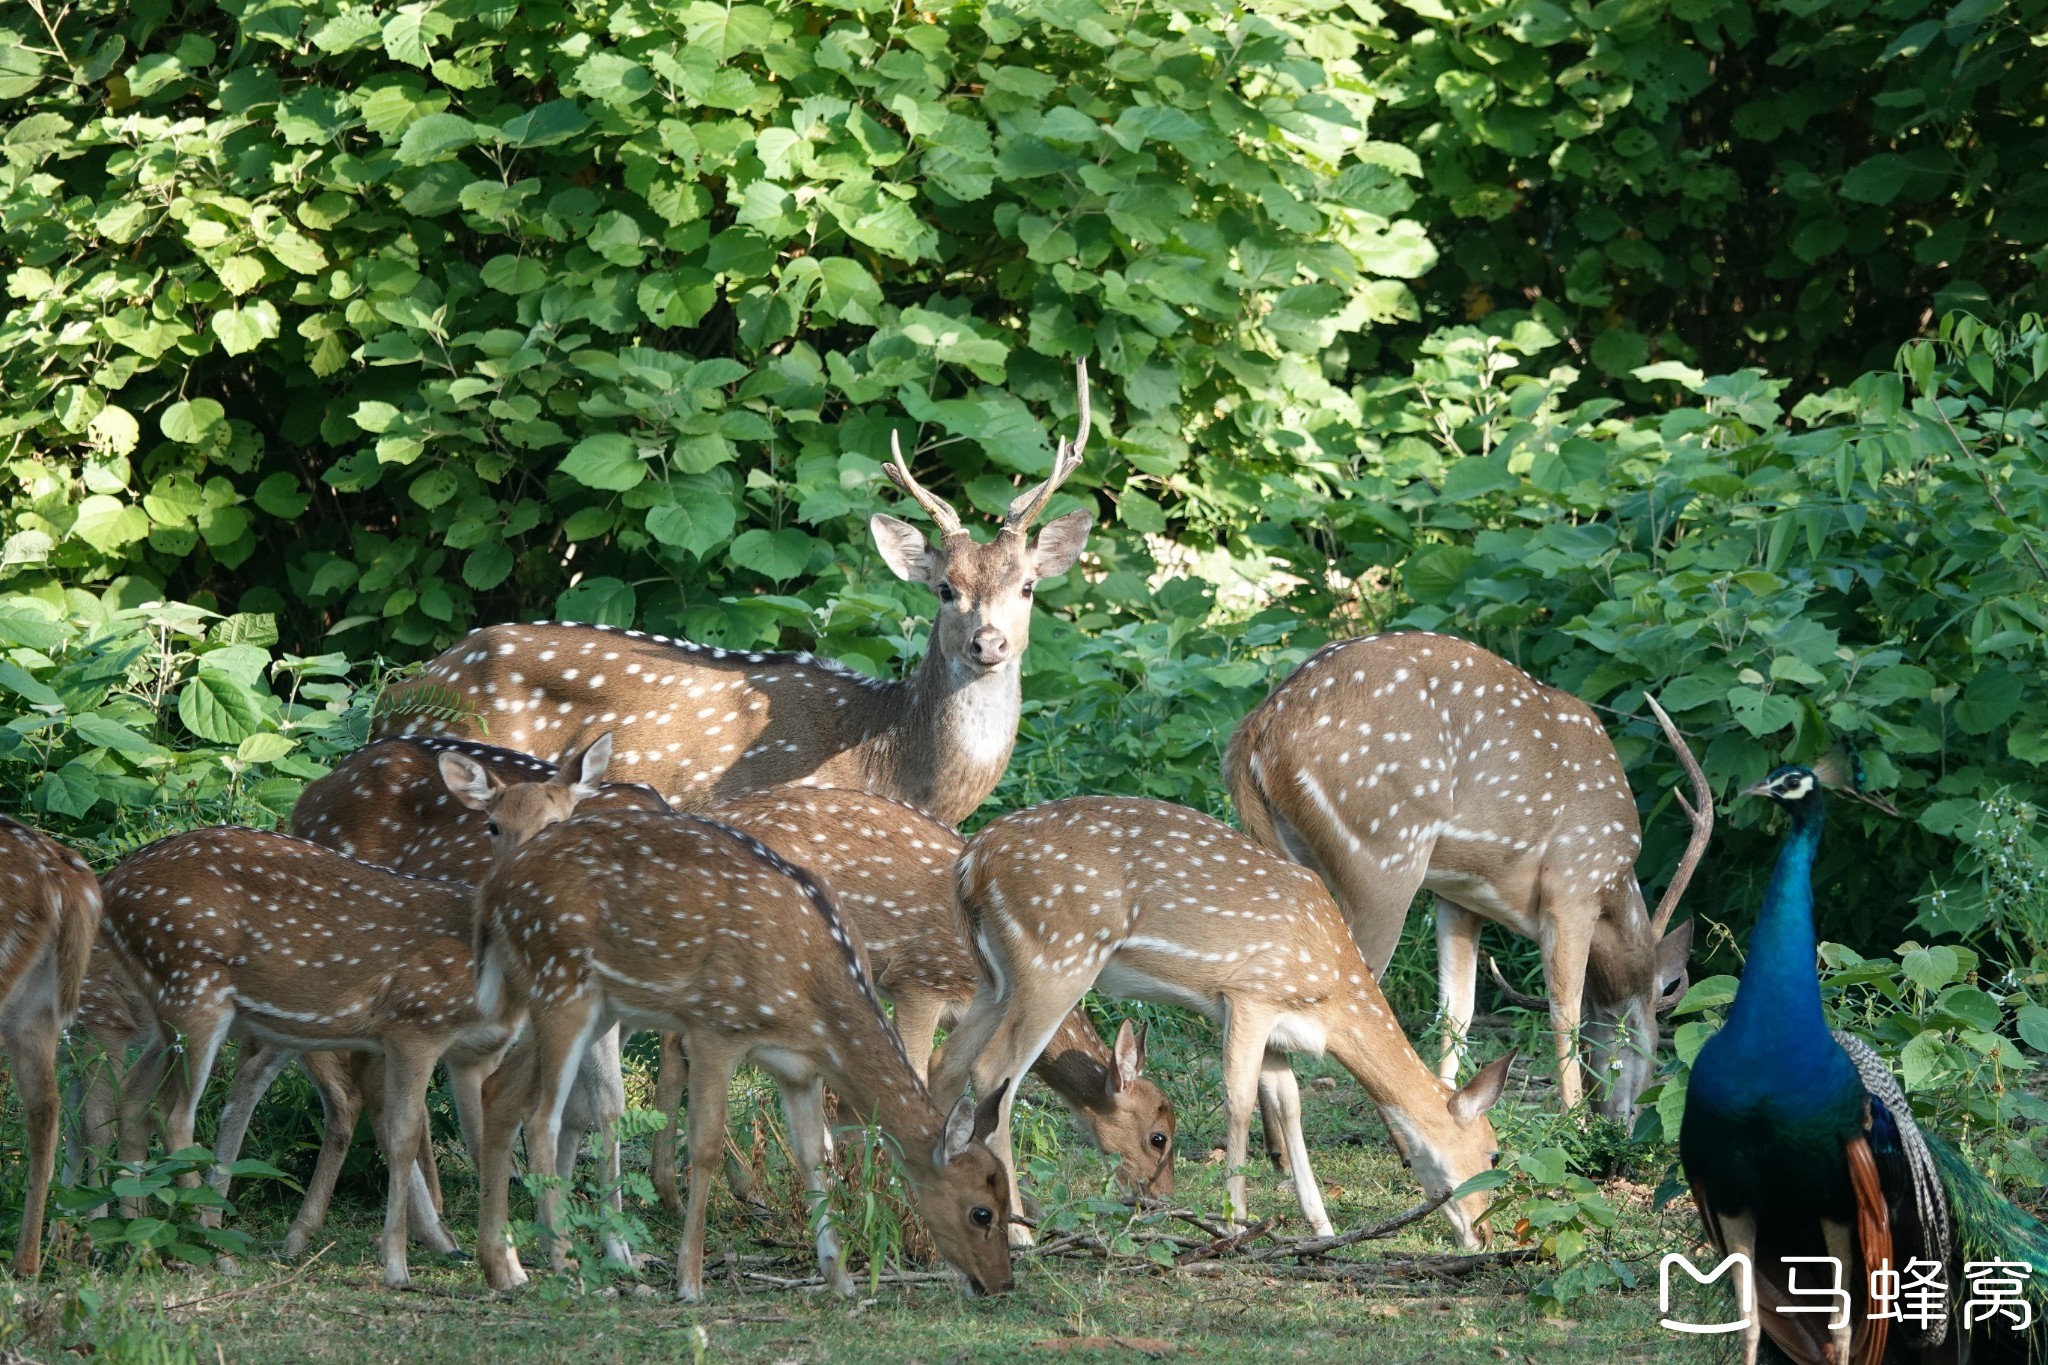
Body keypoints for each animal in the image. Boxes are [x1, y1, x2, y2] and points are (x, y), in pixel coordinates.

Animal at [647, 789, 1179, 1219]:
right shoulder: (918, 980)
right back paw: (738, 1186)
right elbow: (912, 1078)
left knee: (676, 1044)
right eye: (1159, 1136)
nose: (1162, 1197)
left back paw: (674, 1191)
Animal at [937, 794, 1515, 1252]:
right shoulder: (1248, 996)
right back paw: (1020, 1233)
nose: (1485, 1235)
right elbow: (1239, 1100)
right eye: (1492, 1151)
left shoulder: (1280, 1029)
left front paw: (1323, 1228)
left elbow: (1289, 1105)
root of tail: (971, 863)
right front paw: (1237, 1225)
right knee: (993, 1072)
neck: (1331, 995)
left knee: (947, 1063)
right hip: (1057, 957)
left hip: (994, 975)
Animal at [1228, 634, 1712, 1129]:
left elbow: (1457, 1009)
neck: (1615, 882)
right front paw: (1572, 1122)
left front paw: (1453, 1101)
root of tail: (1259, 730)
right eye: (1645, 1027)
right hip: (1384, 851)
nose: (1620, 1116)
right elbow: (1565, 1008)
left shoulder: (1459, 895)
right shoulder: (1575, 884)